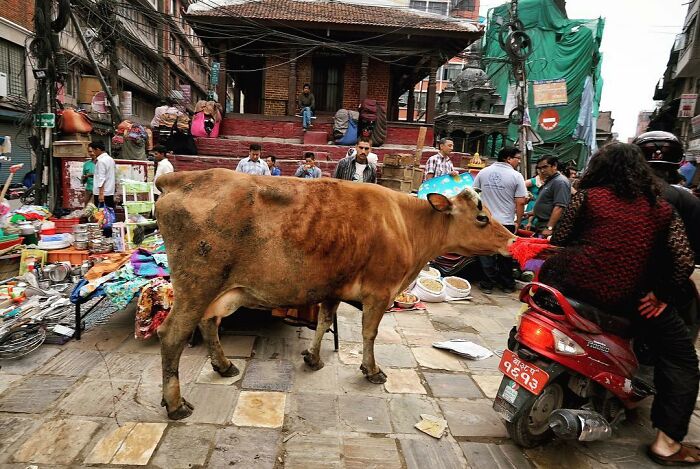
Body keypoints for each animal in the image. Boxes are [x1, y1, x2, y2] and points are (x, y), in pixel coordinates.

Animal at [155, 169, 514, 419]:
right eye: (482, 217)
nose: (512, 239)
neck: (406, 224)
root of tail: (182, 178)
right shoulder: (379, 292)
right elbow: (369, 334)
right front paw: (372, 370)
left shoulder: (332, 288)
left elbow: (324, 321)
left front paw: (313, 358)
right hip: (197, 285)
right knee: (172, 335)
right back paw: (176, 404)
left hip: (217, 291)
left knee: (209, 323)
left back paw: (224, 365)